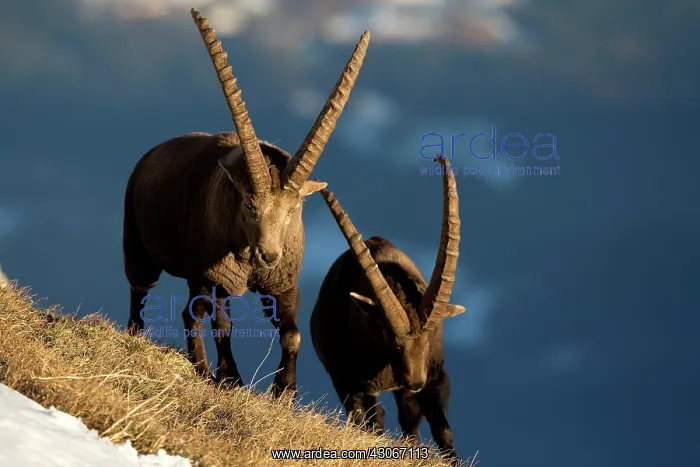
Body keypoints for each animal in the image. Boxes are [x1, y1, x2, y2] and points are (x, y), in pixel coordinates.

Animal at [123, 8, 370, 398]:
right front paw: (223, 377)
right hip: (140, 243)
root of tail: (150, 154)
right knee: (151, 295)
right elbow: (213, 321)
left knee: (204, 316)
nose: (268, 256)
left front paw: (284, 391)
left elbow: (292, 333)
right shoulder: (212, 275)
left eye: (292, 211)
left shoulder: (282, 285)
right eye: (250, 207)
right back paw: (171, 352)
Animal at [310, 157, 464, 463]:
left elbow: (443, 431)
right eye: (388, 337)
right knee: (374, 419)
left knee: (408, 424)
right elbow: (370, 419)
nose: (415, 382)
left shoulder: (436, 375)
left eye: (429, 339)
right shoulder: (350, 380)